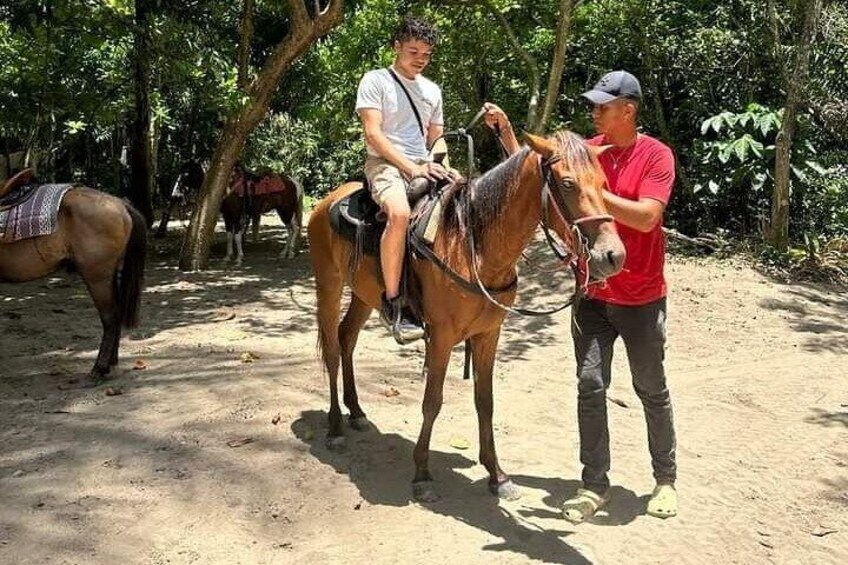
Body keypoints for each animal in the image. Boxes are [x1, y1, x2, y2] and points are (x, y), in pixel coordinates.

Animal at [0, 183, 147, 382]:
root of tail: (121, 204)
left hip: (97, 276)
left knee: (110, 317)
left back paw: (100, 368)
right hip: (109, 274)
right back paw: (111, 362)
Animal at [308, 132, 628, 502]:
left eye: (603, 183)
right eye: (567, 183)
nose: (613, 256)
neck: (473, 244)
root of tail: (329, 200)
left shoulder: (489, 334)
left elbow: (485, 401)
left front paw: (497, 475)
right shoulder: (442, 337)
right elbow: (432, 402)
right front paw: (422, 475)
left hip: (364, 295)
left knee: (346, 338)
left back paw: (357, 412)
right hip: (329, 286)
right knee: (332, 349)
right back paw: (334, 427)